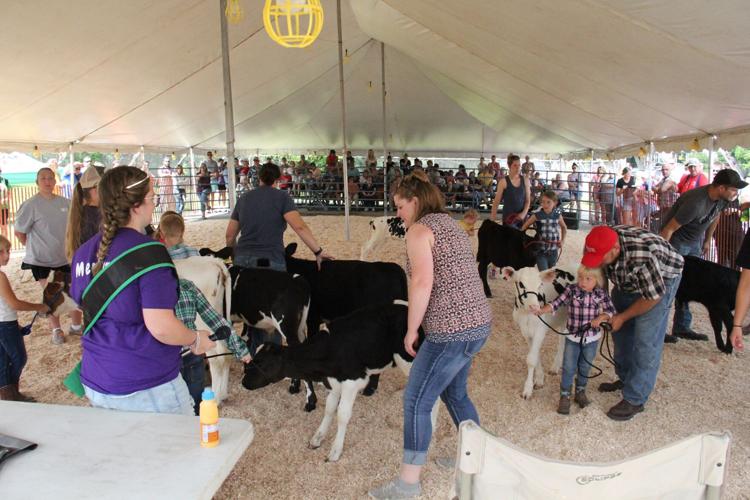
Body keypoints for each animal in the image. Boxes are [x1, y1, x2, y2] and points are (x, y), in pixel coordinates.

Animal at [244, 300, 438, 460]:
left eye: (261, 363)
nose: (243, 382)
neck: (329, 351)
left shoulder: (352, 382)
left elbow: (342, 415)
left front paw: (336, 450)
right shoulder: (334, 383)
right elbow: (329, 409)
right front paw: (318, 437)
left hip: (410, 360)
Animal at [502, 266, 580, 398]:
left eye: (540, 285)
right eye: (521, 284)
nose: (534, 307)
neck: (527, 315)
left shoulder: (540, 330)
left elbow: (531, 359)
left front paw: (528, 389)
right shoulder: (525, 331)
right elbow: (535, 355)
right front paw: (539, 379)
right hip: (564, 319)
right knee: (562, 339)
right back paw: (555, 366)